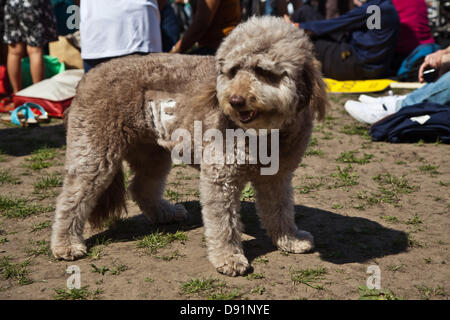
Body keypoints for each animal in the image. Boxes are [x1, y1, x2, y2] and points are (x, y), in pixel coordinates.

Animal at [51, 16, 326, 276]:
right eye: (233, 71)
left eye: (264, 71)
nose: (234, 100)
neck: (265, 134)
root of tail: (87, 77)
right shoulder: (220, 177)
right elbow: (224, 224)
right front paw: (229, 258)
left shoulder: (277, 178)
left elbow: (280, 210)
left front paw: (289, 239)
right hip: (96, 153)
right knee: (71, 199)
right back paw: (66, 243)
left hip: (153, 153)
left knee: (141, 188)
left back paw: (165, 213)